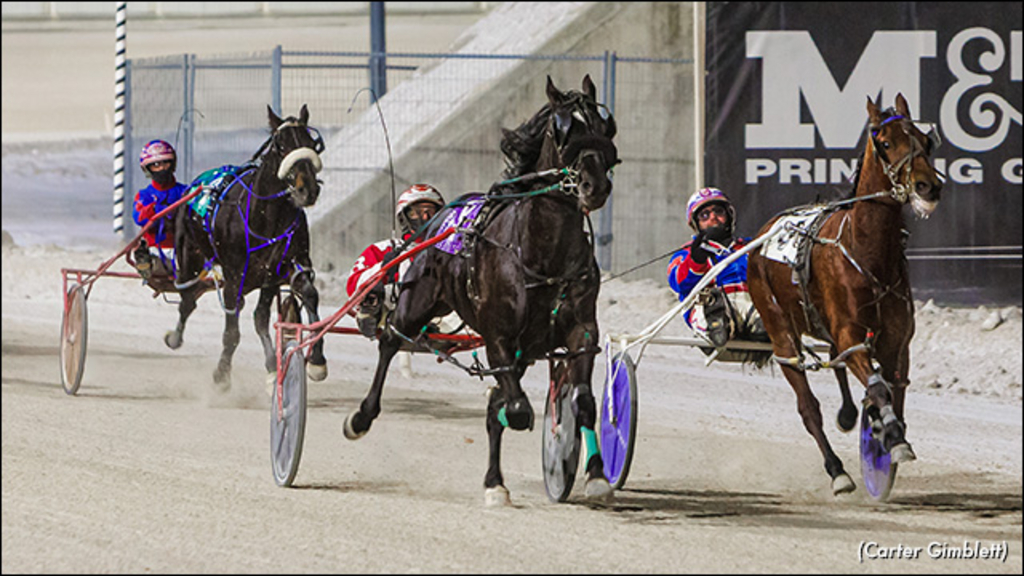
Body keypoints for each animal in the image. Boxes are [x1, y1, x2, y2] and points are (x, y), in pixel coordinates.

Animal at [167, 105, 327, 387]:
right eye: (281, 146)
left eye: (310, 144)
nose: (307, 189)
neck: (266, 217)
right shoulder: (235, 275)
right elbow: (232, 328)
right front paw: (222, 374)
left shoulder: (281, 268)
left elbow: (306, 296)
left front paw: (315, 362)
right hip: (188, 256)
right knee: (187, 300)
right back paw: (175, 338)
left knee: (258, 316)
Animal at [344, 75, 618, 502]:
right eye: (563, 130)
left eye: (604, 126)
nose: (595, 186)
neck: (542, 253)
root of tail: (437, 220)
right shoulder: (499, 336)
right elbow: (517, 409)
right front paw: (510, 410)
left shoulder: (580, 331)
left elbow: (583, 402)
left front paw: (595, 475)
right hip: (416, 301)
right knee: (389, 342)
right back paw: (362, 417)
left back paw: (495, 480)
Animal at [745, 94, 942, 494]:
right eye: (886, 143)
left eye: (924, 141)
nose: (927, 186)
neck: (867, 252)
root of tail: (765, 233)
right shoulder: (852, 333)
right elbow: (878, 388)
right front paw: (891, 438)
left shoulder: (897, 342)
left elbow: (892, 390)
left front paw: (885, 432)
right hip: (780, 331)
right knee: (808, 406)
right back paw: (837, 471)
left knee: (838, 365)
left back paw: (853, 416)